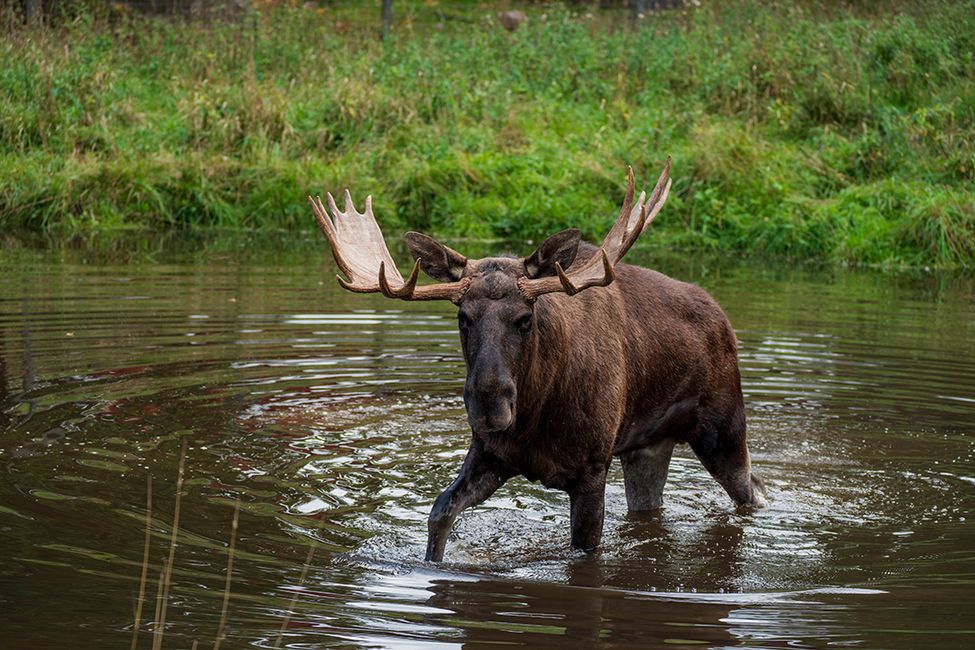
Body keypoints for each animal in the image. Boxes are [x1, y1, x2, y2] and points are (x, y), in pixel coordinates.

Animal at [308, 159, 767, 562]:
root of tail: (723, 319)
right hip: (647, 446)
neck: (535, 417)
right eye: (463, 317)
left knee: (754, 489)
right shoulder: (491, 455)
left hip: (723, 428)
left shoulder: (591, 471)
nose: (489, 404)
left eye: (525, 318)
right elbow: (439, 514)